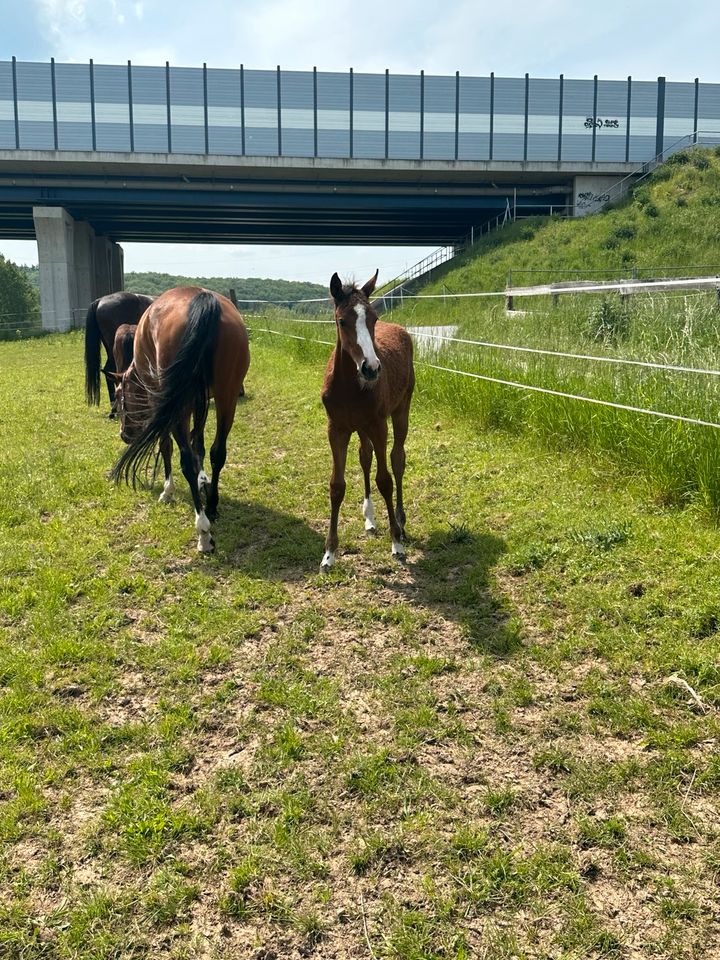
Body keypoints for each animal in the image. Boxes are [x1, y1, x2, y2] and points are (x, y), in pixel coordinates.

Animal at [110, 286, 250, 556]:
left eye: (120, 397)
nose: (125, 434)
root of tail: (203, 299)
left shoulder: (161, 400)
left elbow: (167, 446)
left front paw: (168, 490)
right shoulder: (199, 399)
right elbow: (200, 444)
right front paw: (203, 480)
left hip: (180, 404)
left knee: (185, 459)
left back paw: (203, 532)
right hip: (227, 395)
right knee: (218, 452)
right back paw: (212, 506)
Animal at [320, 270, 416, 568]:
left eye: (373, 318)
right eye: (342, 321)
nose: (371, 368)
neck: (349, 387)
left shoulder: (378, 425)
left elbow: (384, 479)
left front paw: (396, 544)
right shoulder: (336, 429)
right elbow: (336, 486)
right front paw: (329, 553)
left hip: (401, 410)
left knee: (398, 459)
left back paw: (400, 521)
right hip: (359, 428)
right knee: (365, 456)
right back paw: (370, 518)